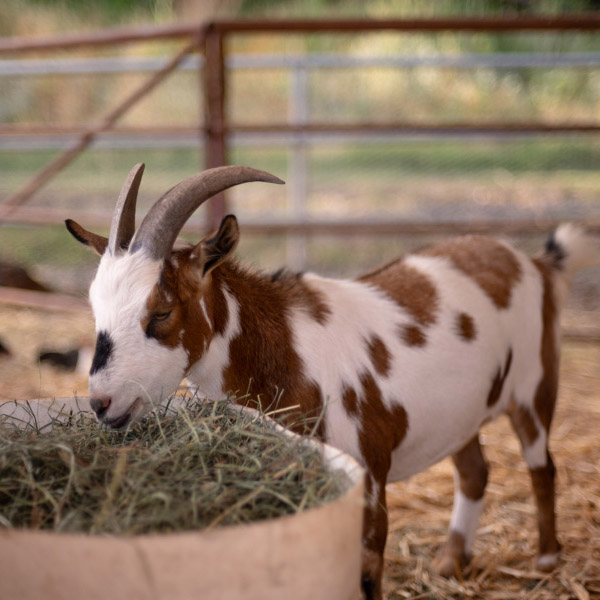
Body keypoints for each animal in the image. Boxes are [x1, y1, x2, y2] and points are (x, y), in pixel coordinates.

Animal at [67, 164, 600, 600]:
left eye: (160, 312)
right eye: (95, 310)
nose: (102, 402)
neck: (287, 347)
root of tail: (532, 262)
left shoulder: (369, 479)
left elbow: (367, 572)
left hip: (533, 386)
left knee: (542, 466)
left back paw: (546, 560)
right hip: (461, 411)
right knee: (474, 471)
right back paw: (450, 563)